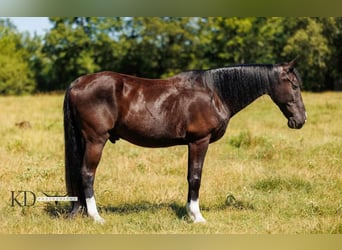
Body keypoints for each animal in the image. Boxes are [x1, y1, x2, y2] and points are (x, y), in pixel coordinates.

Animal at [64, 60, 308, 223]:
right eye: (294, 86)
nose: (301, 120)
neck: (214, 93)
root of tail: (78, 82)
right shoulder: (199, 141)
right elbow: (195, 177)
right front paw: (196, 216)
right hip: (96, 140)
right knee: (87, 174)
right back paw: (96, 216)